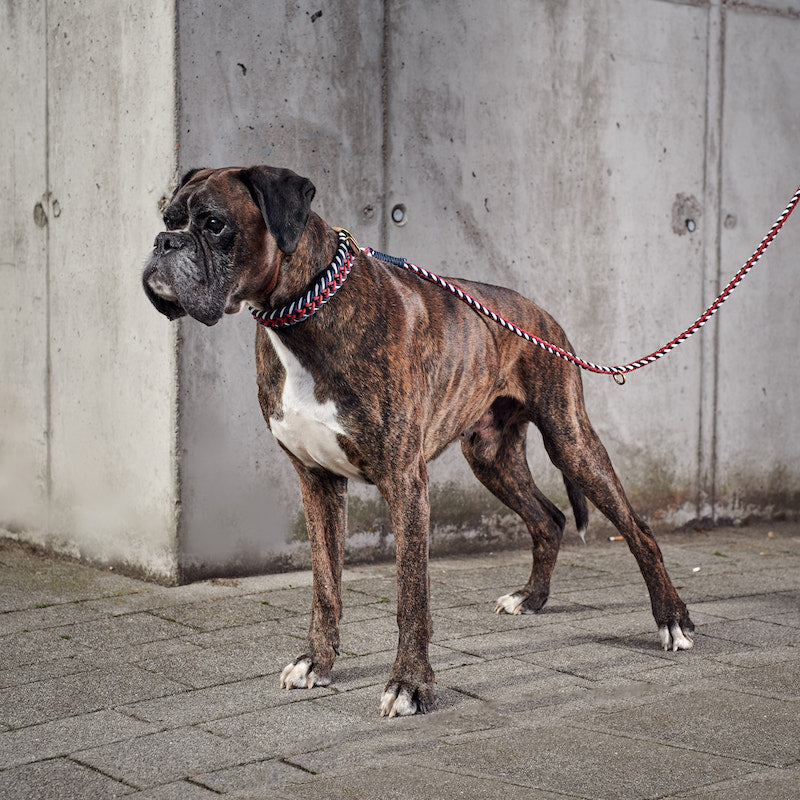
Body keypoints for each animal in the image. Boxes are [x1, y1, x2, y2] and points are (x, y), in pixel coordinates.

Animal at [144, 166, 692, 716]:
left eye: (214, 224)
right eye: (168, 219)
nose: (163, 243)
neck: (300, 314)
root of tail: (539, 314)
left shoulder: (404, 481)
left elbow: (411, 595)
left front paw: (410, 684)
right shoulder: (317, 480)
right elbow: (325, 584)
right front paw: (316, 662)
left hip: (570, 441)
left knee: (638, 530)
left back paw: (672, 619)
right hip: (490, 457)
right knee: (549, 518)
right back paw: (530, 598)